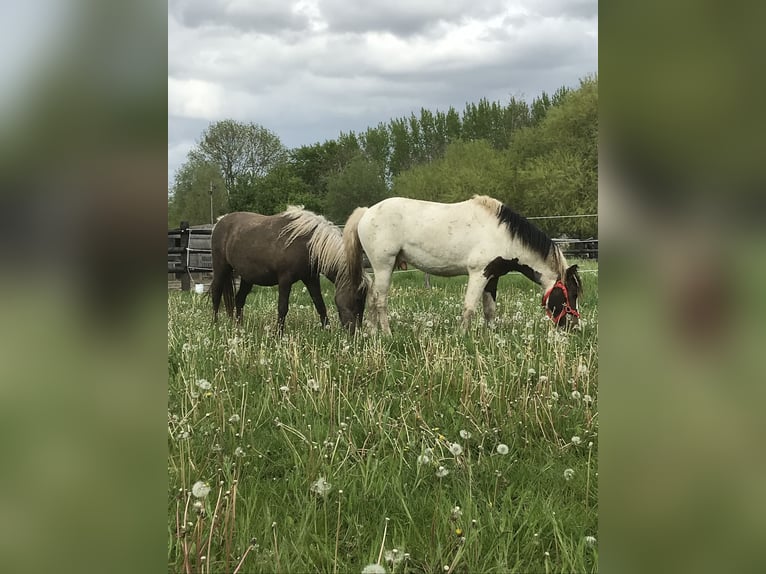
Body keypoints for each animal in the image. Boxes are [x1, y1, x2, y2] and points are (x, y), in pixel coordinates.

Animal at [208, 208, 368, 336]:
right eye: (357, 299)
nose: (356, 334)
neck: (307, 243)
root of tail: (220, 222)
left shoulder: (311, 279)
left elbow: (320, 305)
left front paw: (327, 331)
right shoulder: (285, 280)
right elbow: (282, 308)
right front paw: (278, 334)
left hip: (247, 277)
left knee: (239, 299)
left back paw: (239, 328)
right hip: (221, 268)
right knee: (216, 293)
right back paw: (214, 325)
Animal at [344, 196, 584, 336]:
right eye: (571, 293)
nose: (573, 327)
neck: (503, 235)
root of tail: (366, 212)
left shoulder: (493, 276)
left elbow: (489, 310)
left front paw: (491, 337)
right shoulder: (479, 273)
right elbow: (469, 307)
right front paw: (461, 337)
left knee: (372, 297)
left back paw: (373, 334)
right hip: (383, 265)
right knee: (380, 300)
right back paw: (387, 334)